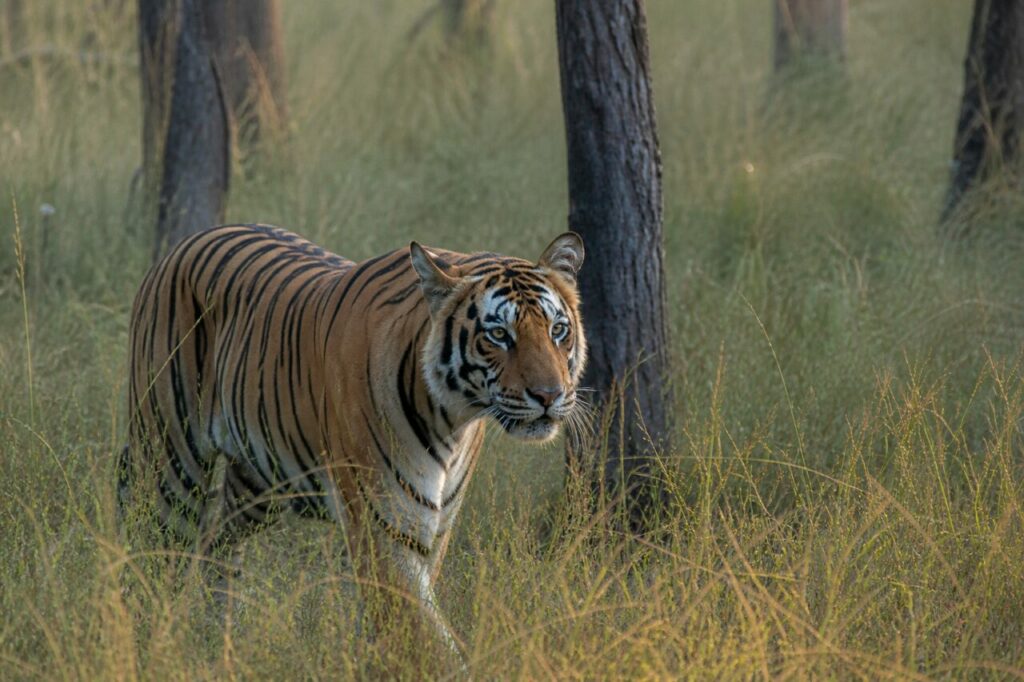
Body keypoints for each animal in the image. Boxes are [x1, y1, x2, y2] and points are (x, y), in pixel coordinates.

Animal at [119, 223, 587, 652]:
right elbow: (427, 639)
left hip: (259, 479)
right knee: (153, 555)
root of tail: (187, 241)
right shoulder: (387, 526)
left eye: (557, 330)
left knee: (218, 541)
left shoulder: (437, 529)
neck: (454, 417)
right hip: (169, 462)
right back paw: (150, 640)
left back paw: (221, 639)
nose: (549, 395)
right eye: (499, 335)